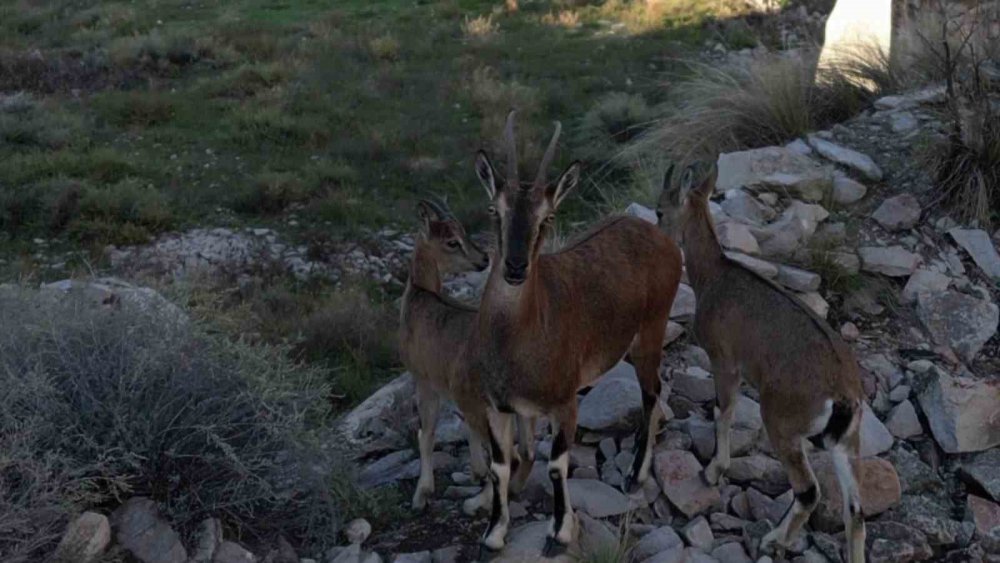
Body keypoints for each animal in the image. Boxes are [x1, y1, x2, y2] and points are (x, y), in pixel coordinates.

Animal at [398, 197, 540, 516]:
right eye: (453, 240)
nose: (484, 259)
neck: (419, 297)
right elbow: (464, 429)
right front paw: (475, 471)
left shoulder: (424, 380)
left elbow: (426, 434)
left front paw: (422, 494)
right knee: (526, 452)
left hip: (484, 404)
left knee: (508, 457)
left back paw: (477, 503)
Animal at [472, 112, 684, 556]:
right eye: (494, 209)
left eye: (548, 217)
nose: (515, 267)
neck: (518, 339)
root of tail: (661, 237)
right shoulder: (497, 407)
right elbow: (500, 467)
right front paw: (494, 534)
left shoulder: (564, 403)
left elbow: (556, 465)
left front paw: (559, 533)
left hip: (652, 329)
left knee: (652, 391)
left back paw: (636, 474)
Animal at [656, 161, 868, 560]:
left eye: (660, 210)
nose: (657, 233)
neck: (715, 275)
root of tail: (844, 397)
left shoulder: (724, 360)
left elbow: (724, 411)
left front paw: (713, 471)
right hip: (847, 442)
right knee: (855, 511)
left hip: (781, 421)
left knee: (808, 491)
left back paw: (774, 541)